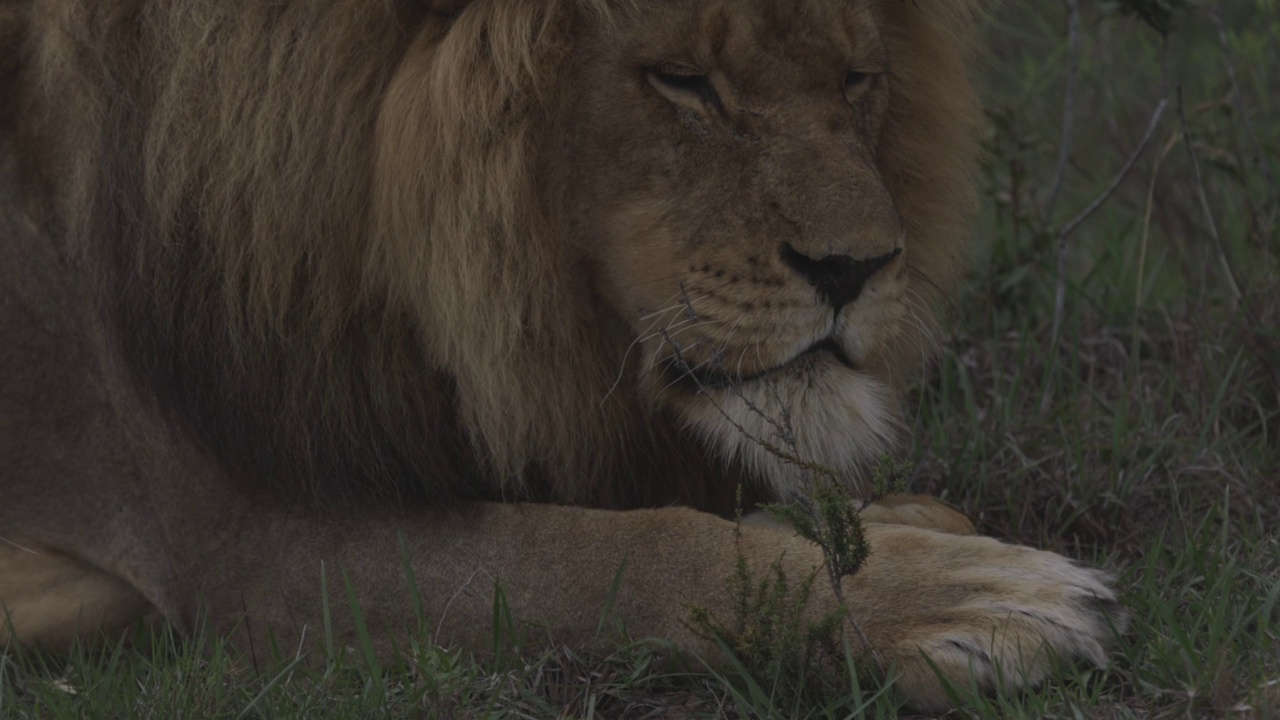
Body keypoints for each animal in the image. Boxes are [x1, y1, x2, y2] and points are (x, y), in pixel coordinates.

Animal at [0, 0, 1121, 707]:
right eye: (682, 82)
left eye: (855, 79)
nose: (858, 269)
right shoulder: (241, 545)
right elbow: (596, 552)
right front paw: (962, 596)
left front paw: (901, 521)